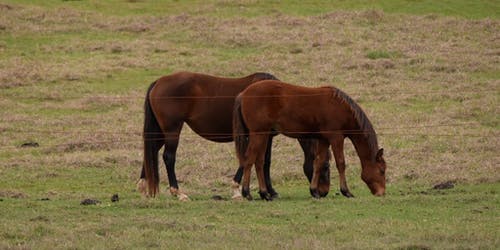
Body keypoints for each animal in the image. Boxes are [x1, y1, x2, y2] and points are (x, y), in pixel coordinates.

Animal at [139, 71, 332, 200]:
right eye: (326, 166)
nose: (324, 192)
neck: (278, 97)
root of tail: (158, 82)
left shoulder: (266, 135)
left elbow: (264, 160)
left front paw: (269, 191)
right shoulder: (259, 134)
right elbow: (252, 159)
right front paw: (239, 190)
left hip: (162, 131)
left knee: (151, 151)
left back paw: (143, 186)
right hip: (172, 130)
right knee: (168, 157)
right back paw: (178, 192)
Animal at [234, 79, 386, 200]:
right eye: (382, 171)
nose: (382, 193)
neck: (342, 107)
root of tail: (243, 94)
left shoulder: (324, 140)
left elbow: (318, 162)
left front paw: (314, 191)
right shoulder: (336, 138)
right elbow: (341, 163)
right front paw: (346, 191)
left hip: (263, 135)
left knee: (259, 162)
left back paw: (264, 193)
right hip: (258, 134)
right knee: (249, 159)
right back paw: (247, 192)